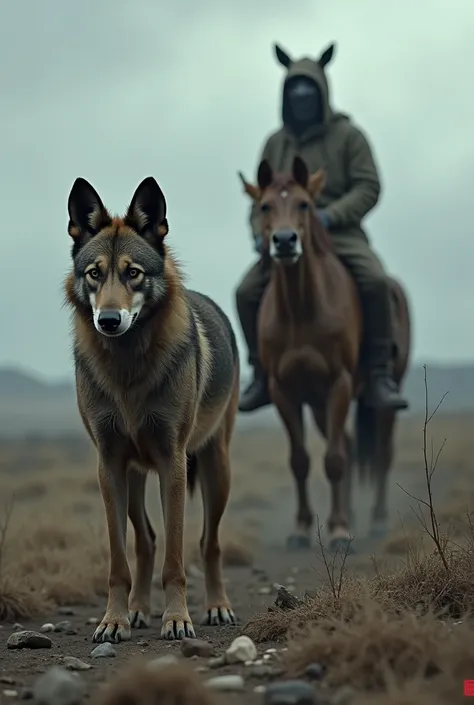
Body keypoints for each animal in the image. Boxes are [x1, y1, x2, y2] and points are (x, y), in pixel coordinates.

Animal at [65, 173, 239, 640]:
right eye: (95, 273)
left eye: (134, 274)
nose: (108, 321)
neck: (127, 366)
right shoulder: (109, 465)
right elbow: (120, 561)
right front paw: (114, 620)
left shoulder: (172, 462)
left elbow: (177, 559)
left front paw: (177, 619)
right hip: (135, 476)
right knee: (145, 541)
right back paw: (139, 610)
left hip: (215, 467)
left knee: (210, 543)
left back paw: (217, 606)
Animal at [239, 155, 410, 552]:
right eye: (264, 206)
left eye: (305, 204)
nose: (284, 241)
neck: (301, 308)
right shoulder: (285, 391)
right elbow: (300, 460)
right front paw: (302, 529)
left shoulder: (339, 384)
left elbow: (334, 459)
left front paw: (338, 531)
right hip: (317, 404)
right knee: (348, 443)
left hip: (382, 396)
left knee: (382, 453)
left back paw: (377, 520)